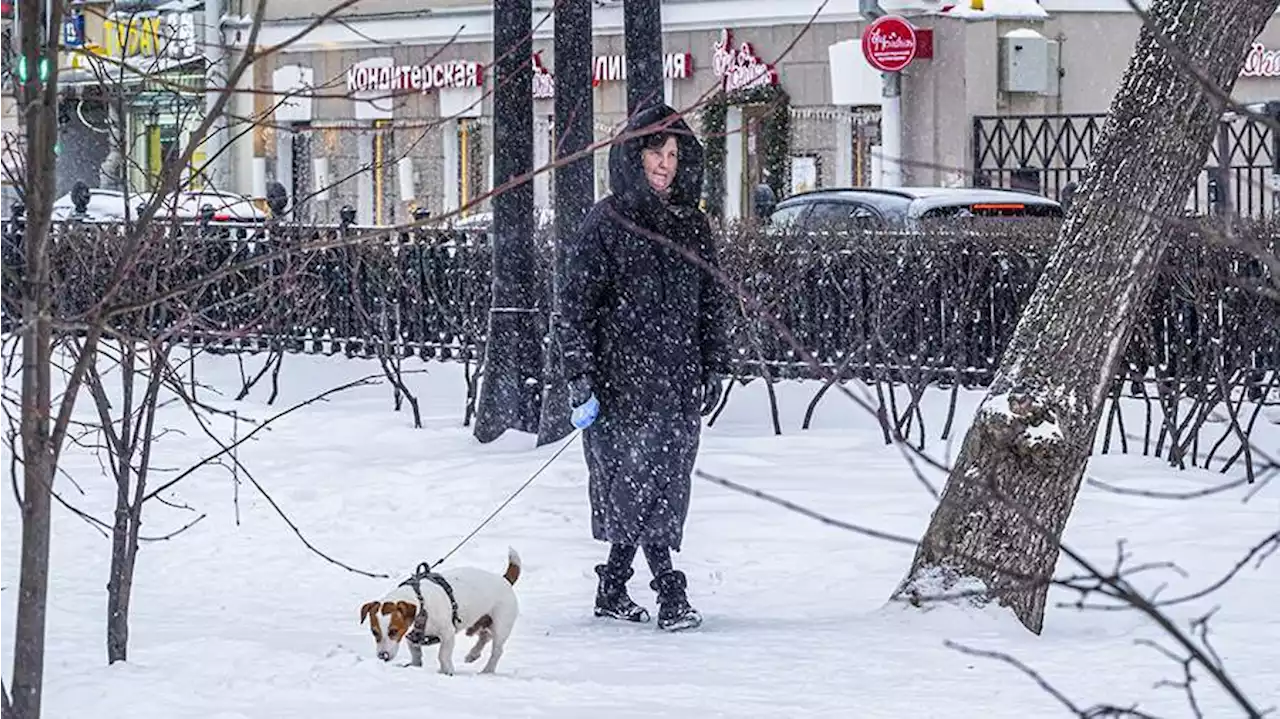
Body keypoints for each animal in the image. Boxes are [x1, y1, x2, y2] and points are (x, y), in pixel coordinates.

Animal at [360, 545, 519, 675]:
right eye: (374, 632)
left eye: (393, 631)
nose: (383, 656)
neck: (421, 603)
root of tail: (505, 580)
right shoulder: (411, 636)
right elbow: (415, 653)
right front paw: (415, 666)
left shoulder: (447, 633)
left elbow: (443, 654)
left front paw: (447, 670)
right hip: (481, 621)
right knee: (485, 637)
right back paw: (472, 655)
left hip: (501, 625)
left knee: (497, 650)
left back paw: (487, 670)